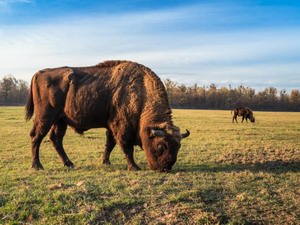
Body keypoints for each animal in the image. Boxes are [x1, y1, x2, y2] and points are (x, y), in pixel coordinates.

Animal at [25, 60, 190, 171]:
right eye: (161, 146)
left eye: (178, 146)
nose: (165, 168)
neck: (140, 92)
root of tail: (39, 73)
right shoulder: (121, 127)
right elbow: (126, 146)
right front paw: (134, 167)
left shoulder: (111, 127)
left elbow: (109, 144)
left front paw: (106, 162)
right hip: (45, 117)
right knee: (36, 136)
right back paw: (37, 165)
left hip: (60, 121)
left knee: (56, 139)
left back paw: (69, 164)